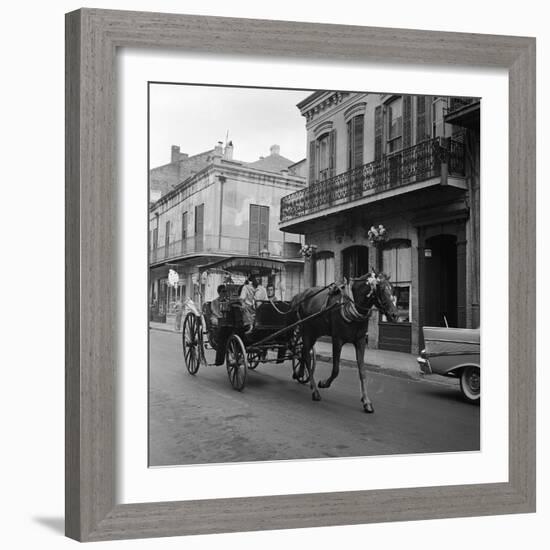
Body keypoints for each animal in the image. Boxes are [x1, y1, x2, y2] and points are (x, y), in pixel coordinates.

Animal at [292, 272, 398, 414]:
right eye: (380, 289)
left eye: (393, 289)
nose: (394, 314)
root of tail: (301, 295)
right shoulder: (338, 339)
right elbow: (336, 369)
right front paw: (324, 383)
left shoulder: (360, 341)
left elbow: (362, 371)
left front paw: (366, 401)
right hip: (307, 331)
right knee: (307, 358)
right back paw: (315, 391)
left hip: (314, 332)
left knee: (303, 353)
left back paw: (300, 374)